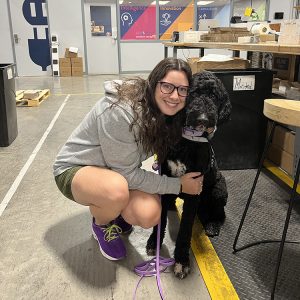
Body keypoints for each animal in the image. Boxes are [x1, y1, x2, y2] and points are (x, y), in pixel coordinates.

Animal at [146, 70, 231, 278]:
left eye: (214, 97)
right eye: (193, 93)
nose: (203, 119)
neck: (187, 141)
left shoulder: (194, 190)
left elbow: (185, 228)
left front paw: (181, 260)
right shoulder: (164, 178)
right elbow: (159, 219)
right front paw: (154, 241)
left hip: (219, 190)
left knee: (220, 213)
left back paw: (212, 224)